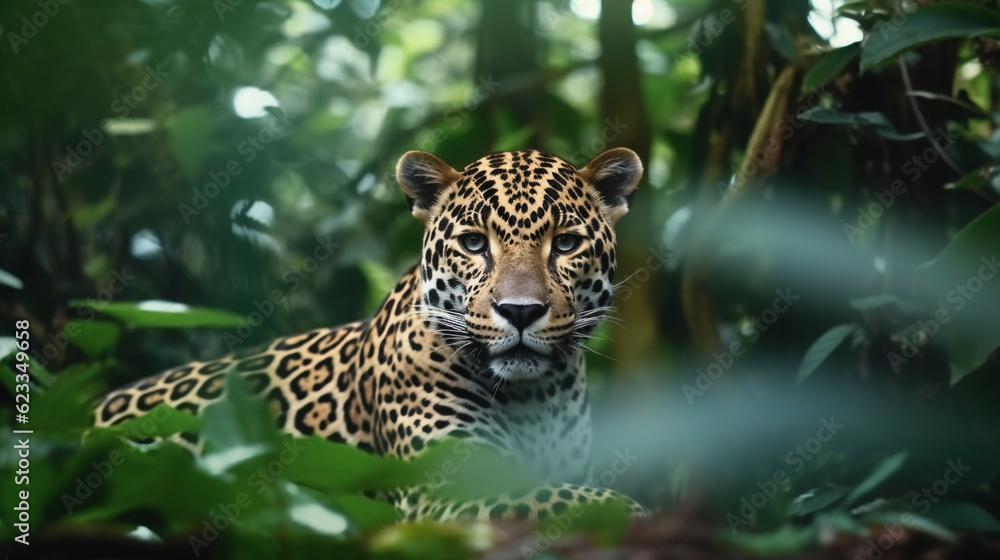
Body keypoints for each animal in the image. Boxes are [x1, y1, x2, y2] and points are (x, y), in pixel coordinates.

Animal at [95, 147, 644, 521]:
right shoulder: (452, 488)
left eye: (566, 244)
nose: (521, 311)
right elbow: (587, 504)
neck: (536, 397)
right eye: (473, 243)